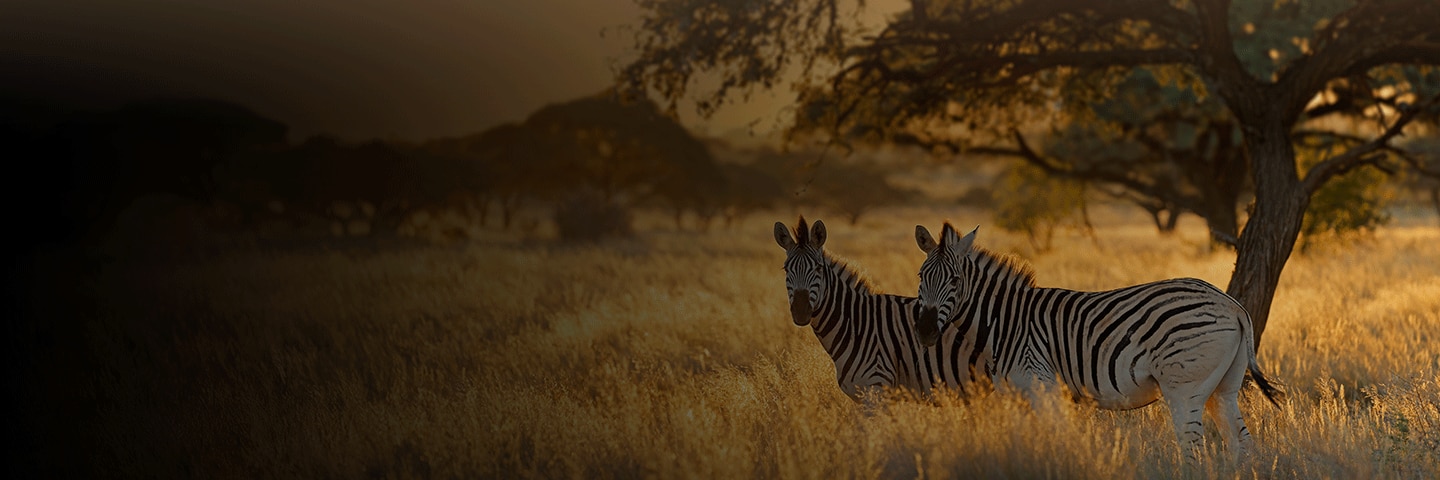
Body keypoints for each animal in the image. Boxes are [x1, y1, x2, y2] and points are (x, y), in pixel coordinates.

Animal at [911, 222, 1283, 464]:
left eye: (955, 280)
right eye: (920, 277)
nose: (925, 331)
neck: (1007, 322)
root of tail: (1232, 305)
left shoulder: (1042, 385)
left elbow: (1056, 440)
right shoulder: (1016, 396)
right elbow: (1025, 441)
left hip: (1184, 386)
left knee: (1192, 446)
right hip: (1223, 386)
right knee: (1241, 443)